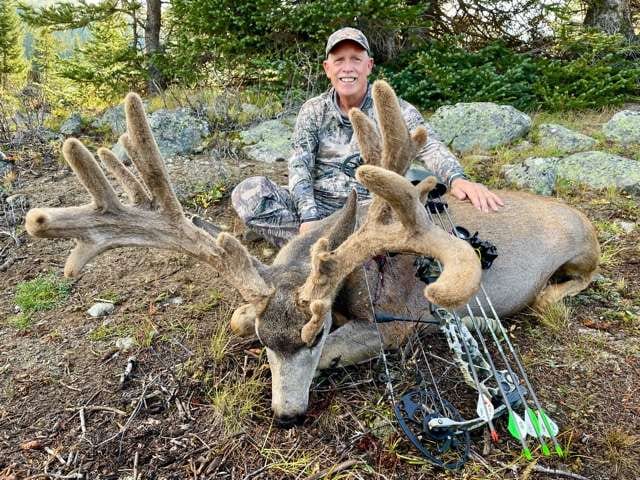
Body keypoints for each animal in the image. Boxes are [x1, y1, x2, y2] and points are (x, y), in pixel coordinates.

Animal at [25, 80, 600, 428]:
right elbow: (236, 318)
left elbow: (341, 348)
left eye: (316, 333)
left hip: (584, 253)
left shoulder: (400, 321)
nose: (287, 413)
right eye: (264, 341)